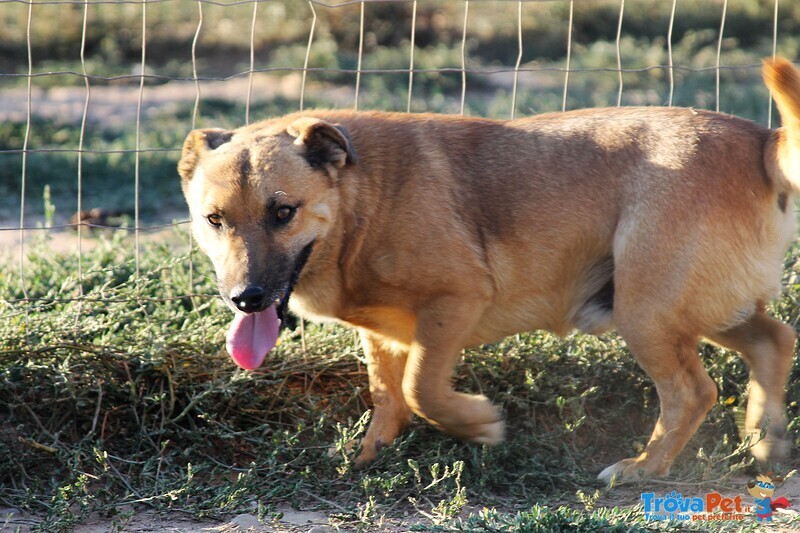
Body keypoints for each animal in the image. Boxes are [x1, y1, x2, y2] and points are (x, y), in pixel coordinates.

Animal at [178, 58, 800, 482]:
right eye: (214, 220)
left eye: (283, 212)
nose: (245, 298)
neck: (362, 200)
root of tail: (760, 140)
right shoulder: (381, 333)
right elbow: (387, 394)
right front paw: (371, 454)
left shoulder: (453, 303)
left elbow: (420, 388)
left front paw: (476, 423)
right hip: (692, 307)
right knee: (774, 339)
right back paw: (765, 440)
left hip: (645, 310)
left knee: (694, 391)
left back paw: (644, 467)